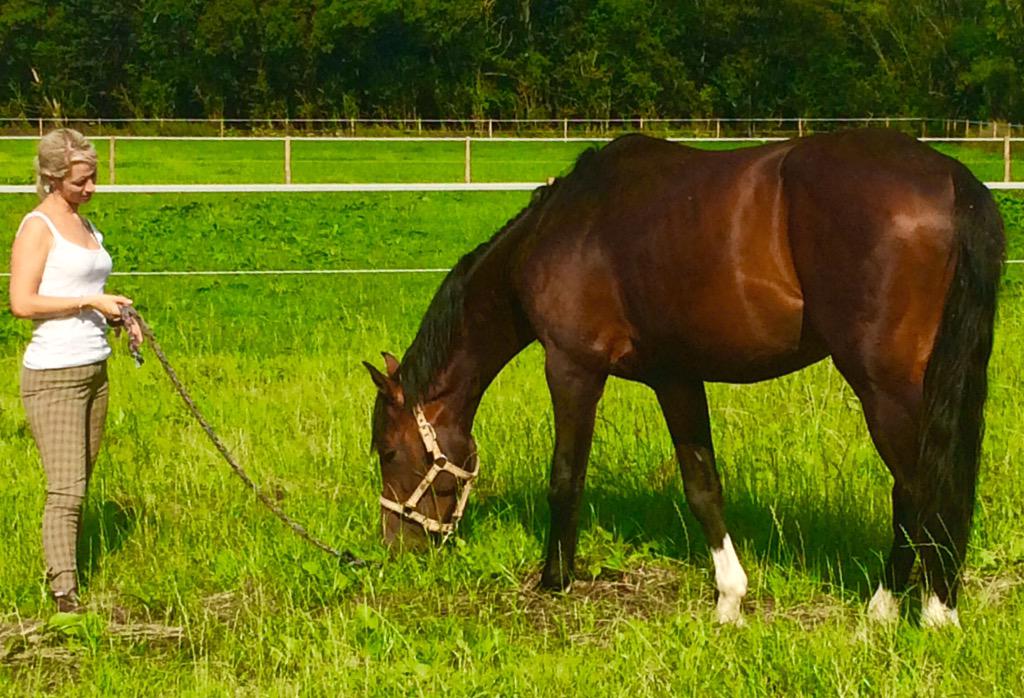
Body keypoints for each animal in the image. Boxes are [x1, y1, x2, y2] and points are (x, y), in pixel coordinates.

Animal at [364, 129, 1004, 627]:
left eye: (389, 452)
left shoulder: (571, 367)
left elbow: (565, 477)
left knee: (917, 488)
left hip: (883, 387)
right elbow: (702, 485)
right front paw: (729, 600)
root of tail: (951, 176)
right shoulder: (675, 377)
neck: (565, 226)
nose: (397, 549)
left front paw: (554, 579)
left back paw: (914, 609)